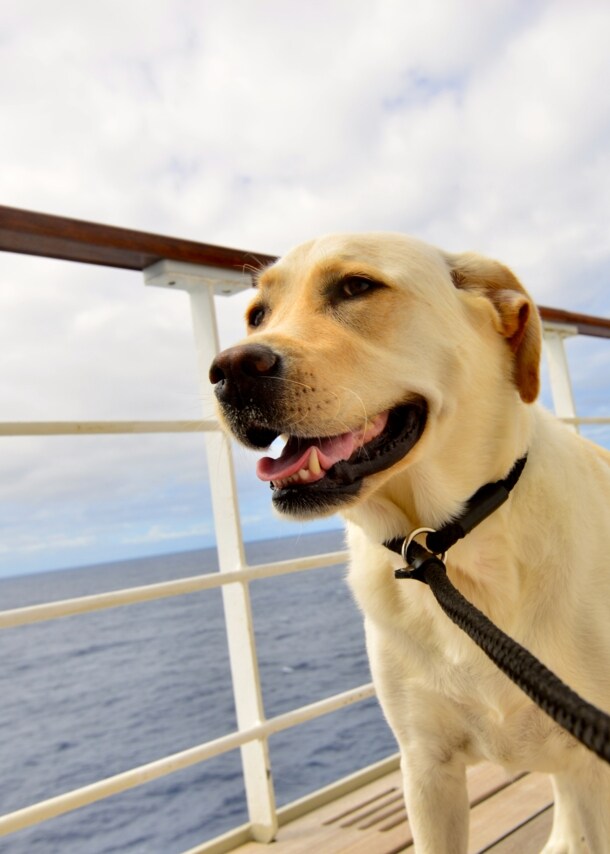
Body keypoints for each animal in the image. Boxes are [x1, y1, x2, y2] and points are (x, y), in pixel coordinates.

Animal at [209, 231, 608, 852]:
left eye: (356, 286)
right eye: (256, 315)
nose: (228, 370)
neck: (449, 549)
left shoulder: (591, 762)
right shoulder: (426, 769)